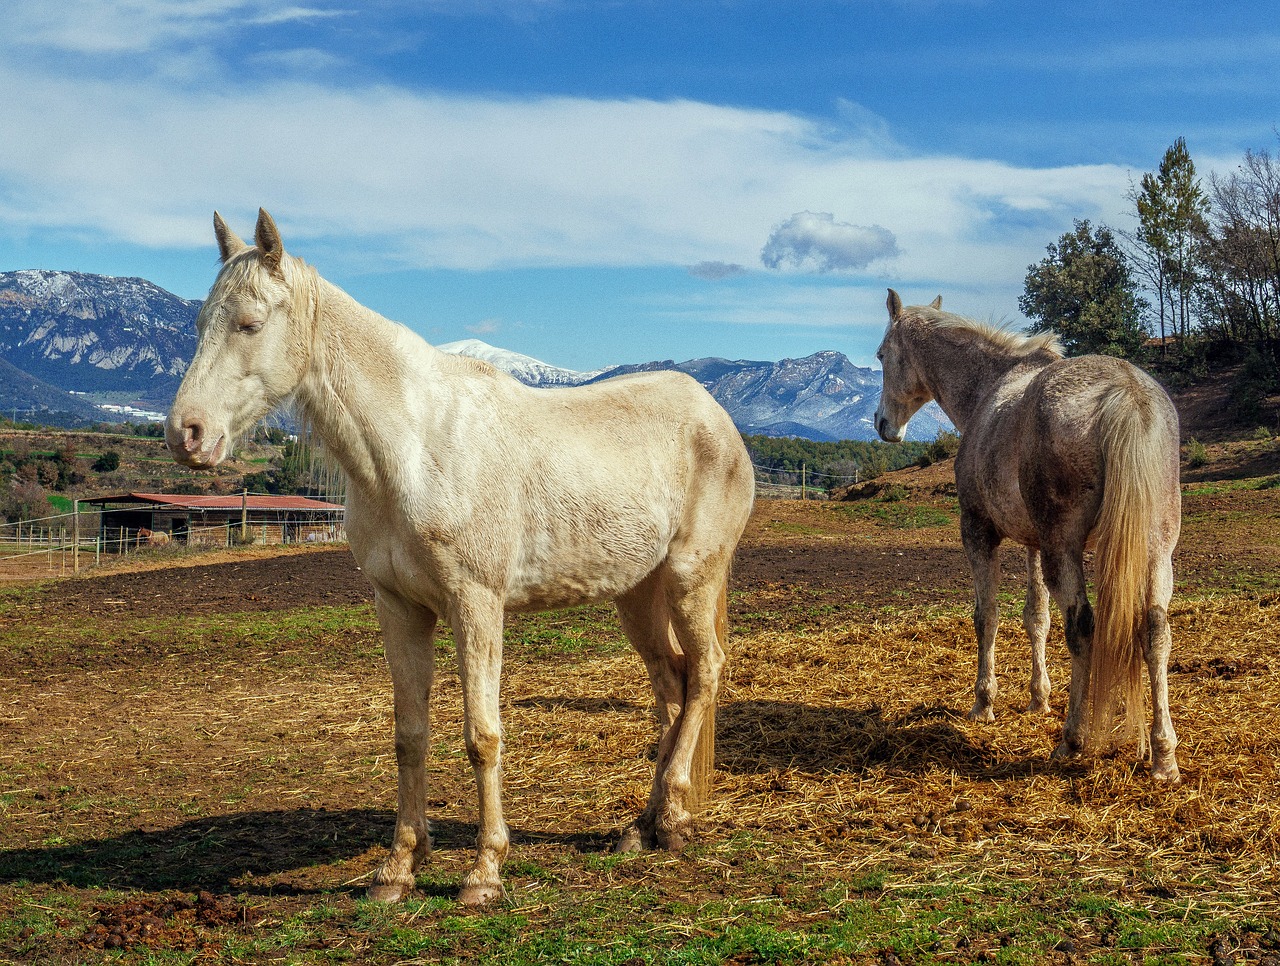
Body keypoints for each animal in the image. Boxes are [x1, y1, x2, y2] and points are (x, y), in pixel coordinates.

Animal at [165, 207, 752, 900]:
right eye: (201, 323)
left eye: (250, 324)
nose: (185, 434)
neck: (414, 448)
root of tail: (717, 417)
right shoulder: (399, 607)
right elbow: (410, 735)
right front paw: (398, 869)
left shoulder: (476, 603)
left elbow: (481, 736)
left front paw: (485, 870)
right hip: (637, 594)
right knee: (672, 682)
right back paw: (647, 825)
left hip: (692, 577)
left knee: (705, 673)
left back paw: (674, 821)